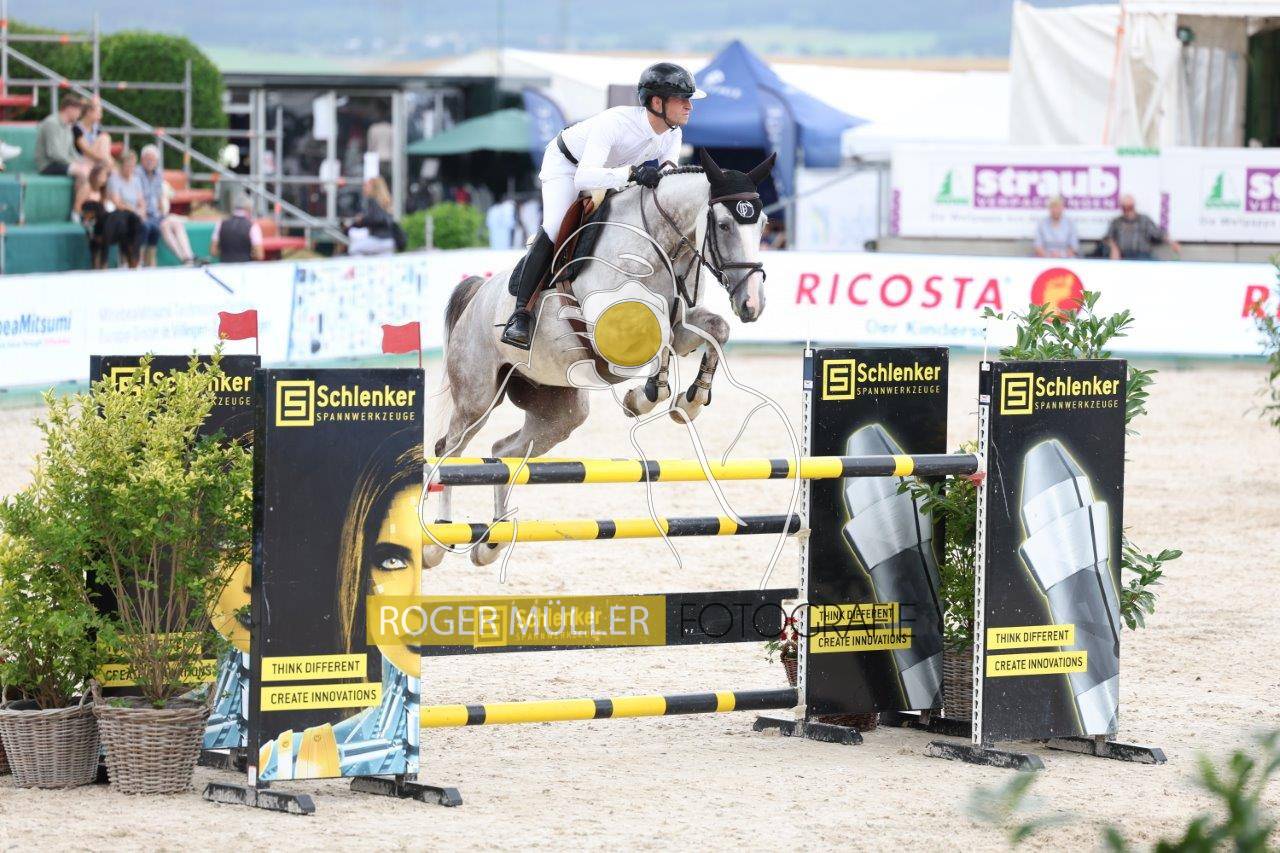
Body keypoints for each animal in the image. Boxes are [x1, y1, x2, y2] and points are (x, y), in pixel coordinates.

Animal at [425, 150, 776, 567]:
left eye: (763, 224)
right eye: (723, 225)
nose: (752, 304)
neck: (657, 246)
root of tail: (478, 293)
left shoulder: (682, 321)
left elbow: (713, 331)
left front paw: (688, 402)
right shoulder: (613, 331)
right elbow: (660, 338)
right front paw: (645, 397)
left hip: (559, 412)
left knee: (503, 454)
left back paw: (490, 542)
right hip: (477, 397)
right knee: (451, 450)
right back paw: (437, 540)